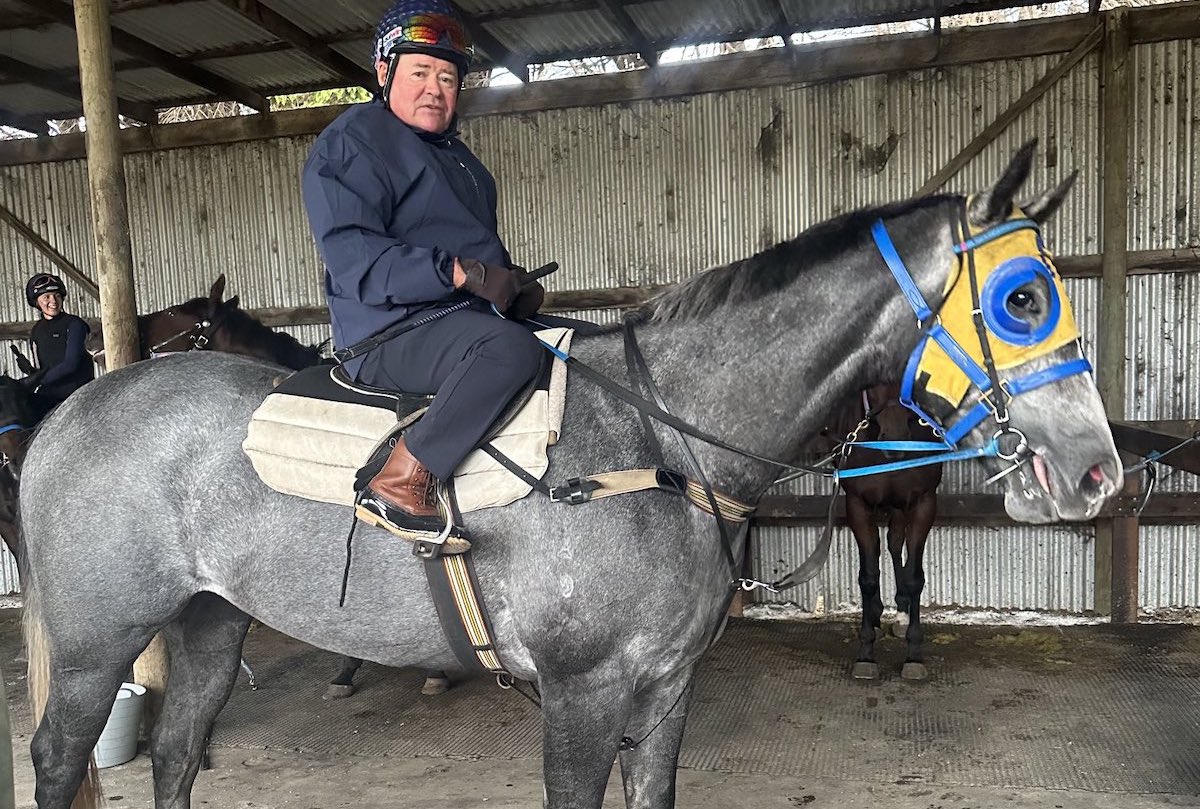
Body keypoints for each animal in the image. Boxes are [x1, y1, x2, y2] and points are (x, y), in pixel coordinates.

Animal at [830, 381, 940, 676]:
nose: (895, 436)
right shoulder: (857, 505)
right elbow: (867, 576)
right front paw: (866, 653)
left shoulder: (923, 503)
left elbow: (914, 577)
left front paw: (914, 655)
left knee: (894, 542)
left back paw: (901, 614)